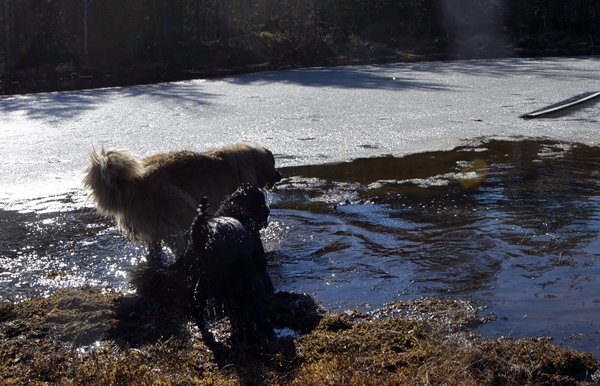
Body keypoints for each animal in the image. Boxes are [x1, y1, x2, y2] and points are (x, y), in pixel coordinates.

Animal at [185, 184, 274, 338]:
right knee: (255, 300)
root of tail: (206, 239)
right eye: (262, 202)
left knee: (196, 300)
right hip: (249, 277)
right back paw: (265, 326)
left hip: (200, 277)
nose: (268, 210)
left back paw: (203, 327)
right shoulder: (258, 260)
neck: (236, 209)